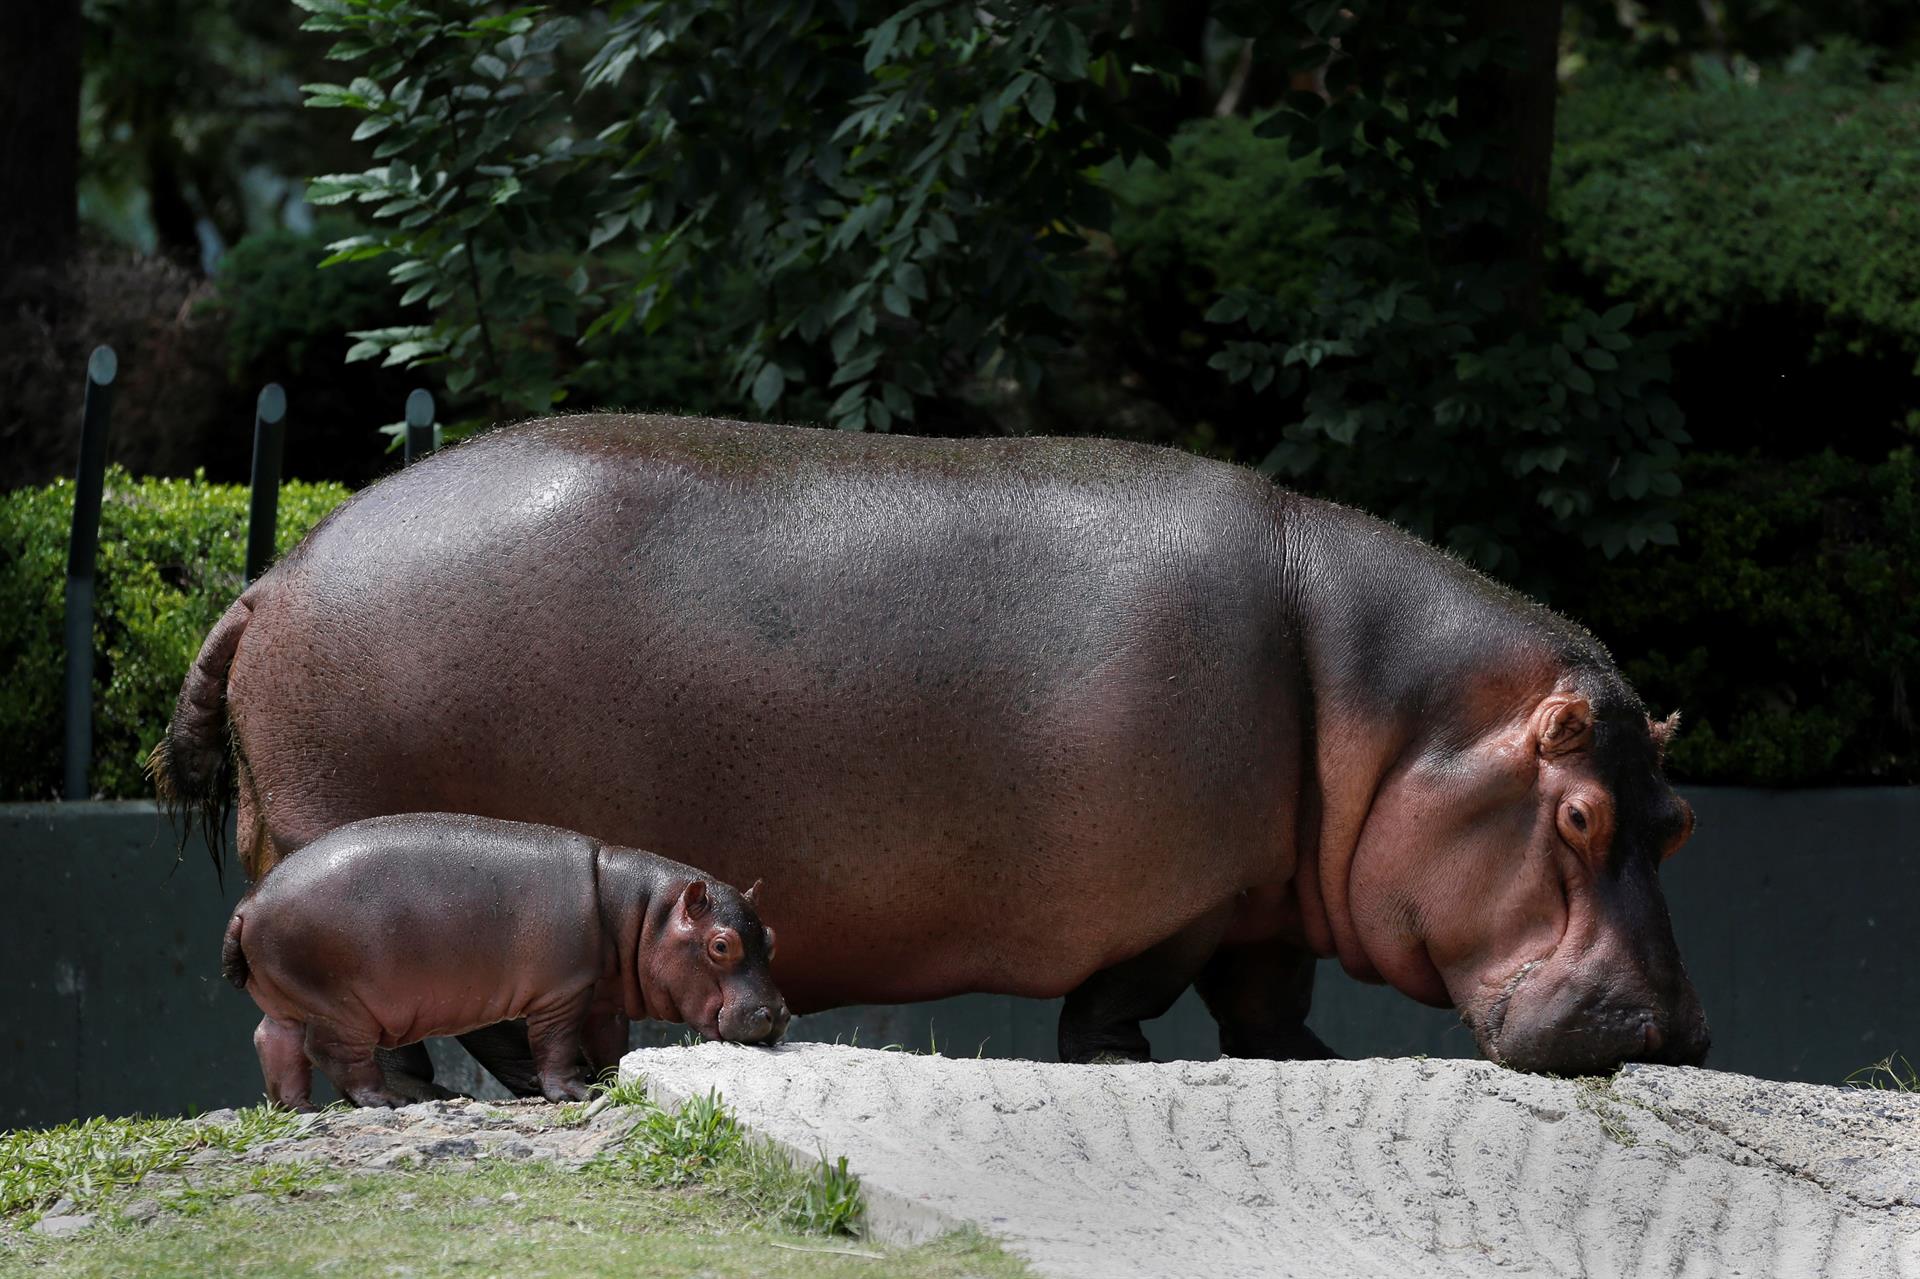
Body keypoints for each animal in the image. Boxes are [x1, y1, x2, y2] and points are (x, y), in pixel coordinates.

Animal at [222, 818, 787, 1106]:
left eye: (772, 937)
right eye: (721, 945)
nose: (777, 1013)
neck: (644, 910)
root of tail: (248, 904)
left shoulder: (600, 998)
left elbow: (609, 1043)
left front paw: (609, 1081)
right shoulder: (563, 993)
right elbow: (555, 1046)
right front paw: (575, 1092)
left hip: (288, 998)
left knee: (273, 1041)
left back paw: (296, 1108)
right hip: (342, 1006)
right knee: (335, 1053)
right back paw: (388, 1102)